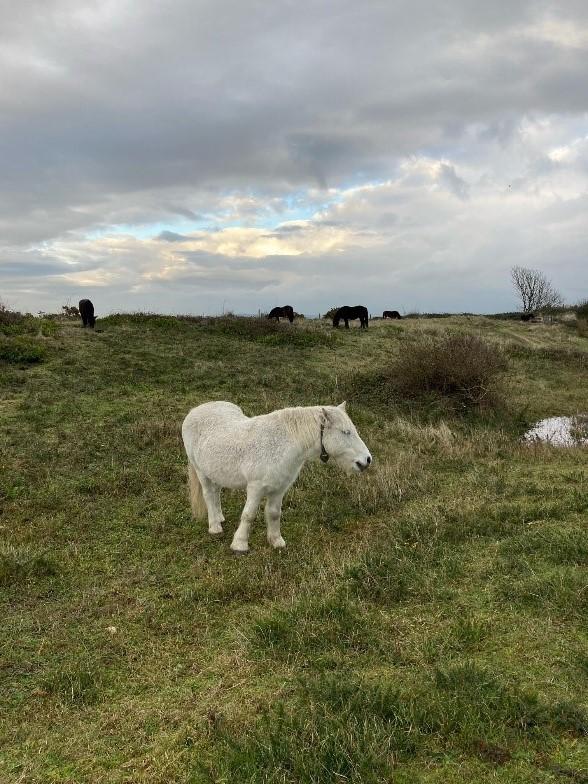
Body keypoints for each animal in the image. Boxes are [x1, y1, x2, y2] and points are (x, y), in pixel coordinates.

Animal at [182, 401, 372, 553]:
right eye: (346, 432)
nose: (367, 460)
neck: (281, 444)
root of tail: (195, 410)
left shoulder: (279, 489)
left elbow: (274, 514)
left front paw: (276, 541)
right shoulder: (255, 488)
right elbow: (248, 515)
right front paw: (240, 544)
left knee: (216, 493)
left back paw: (219, 517)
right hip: (200, 470)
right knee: (208, 494)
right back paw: (214, 526)